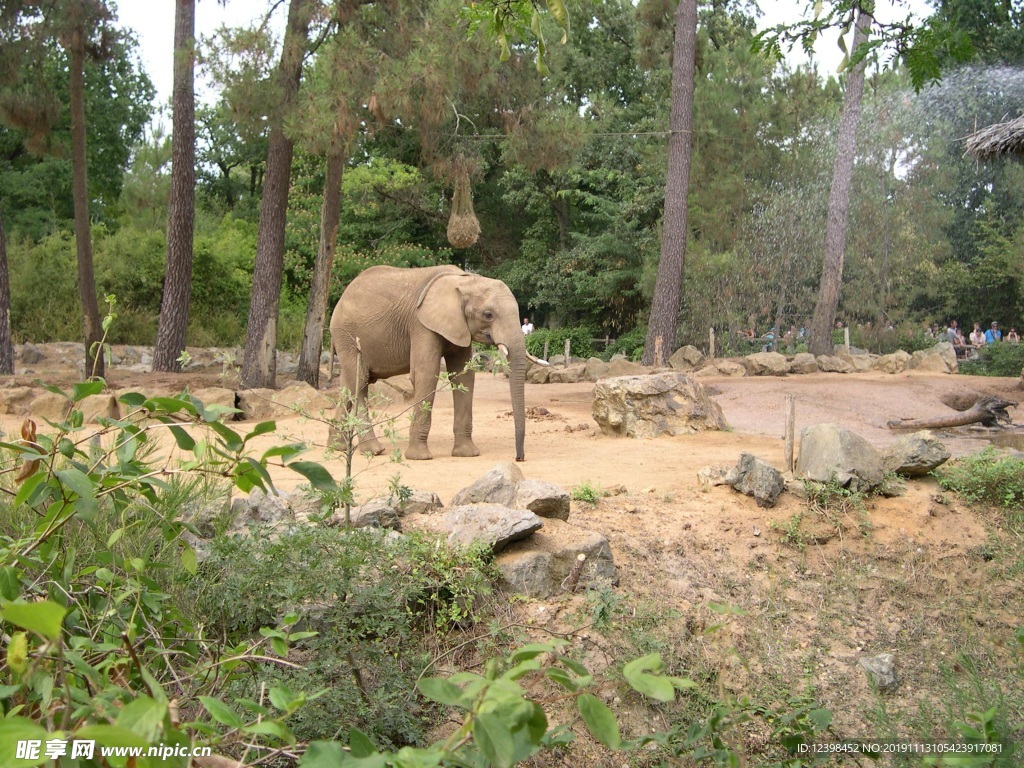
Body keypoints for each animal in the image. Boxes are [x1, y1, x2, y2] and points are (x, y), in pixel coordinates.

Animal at [329, 264, 544, 461]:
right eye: (488, 314)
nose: (519, 458)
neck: (466, 280)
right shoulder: (421, 324)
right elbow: (426, 374)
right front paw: (419, 457)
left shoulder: (459, 326)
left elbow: (463, 377)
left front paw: (467, 454)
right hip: (347, 335)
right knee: (359, 381)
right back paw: (373, 450)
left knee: (350, 383)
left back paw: (339, 447)